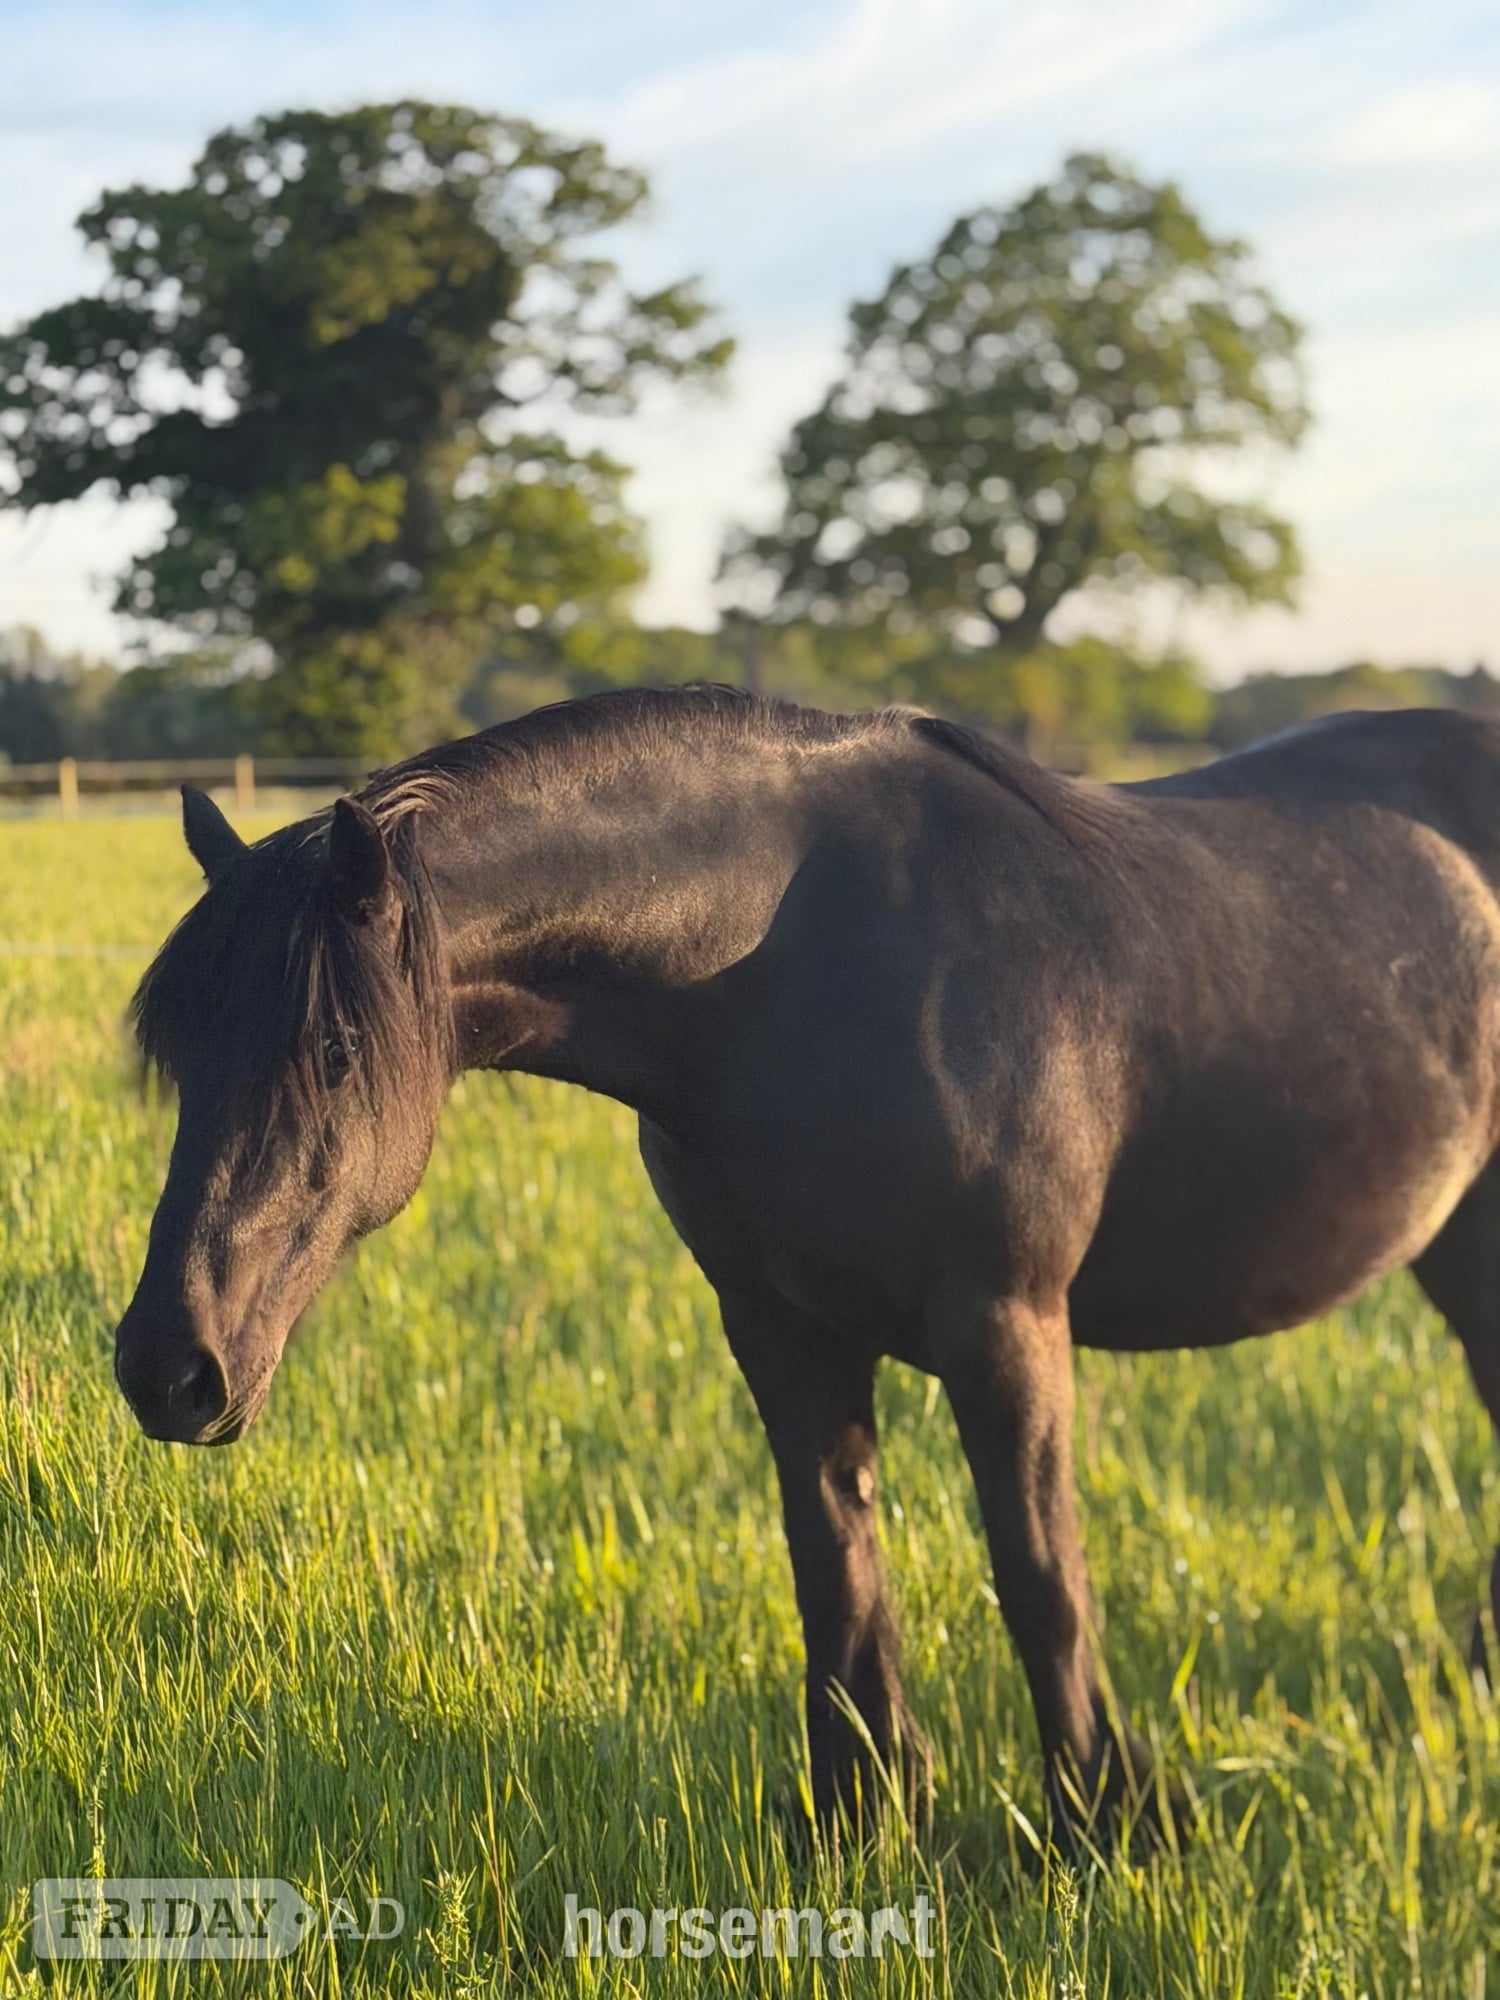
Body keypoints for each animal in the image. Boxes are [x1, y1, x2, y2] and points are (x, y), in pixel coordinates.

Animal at [114, 686, 1500, 1838]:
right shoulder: (780, 1326)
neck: (795, 966)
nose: (168, 1367)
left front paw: (1104, 1824)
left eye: (336, 1049)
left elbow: (1040, 1574)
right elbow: (832, 1565)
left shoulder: (1007, 1324)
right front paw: (864, 1815)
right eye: (182, 1046)